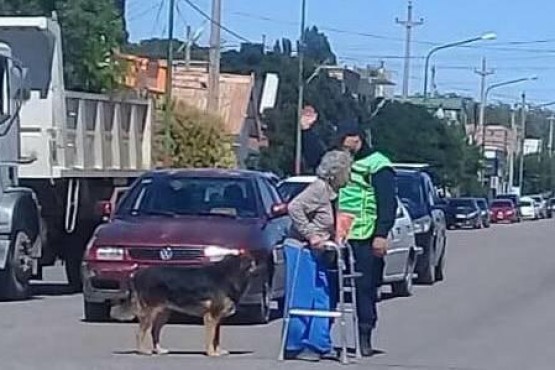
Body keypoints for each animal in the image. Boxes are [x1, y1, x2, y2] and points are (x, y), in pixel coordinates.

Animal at [111, 254, 258, 356]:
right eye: (252, 264)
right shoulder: (211, 317)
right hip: (150, 312)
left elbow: (216, 337)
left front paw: (218, 351)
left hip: (163, 313)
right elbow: (211, 337)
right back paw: (142, 351)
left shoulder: (218, 319)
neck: (230, 274)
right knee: (140, 332)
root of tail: (136, 275)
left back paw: (159, 350)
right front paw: (211, 353)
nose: (261, 270)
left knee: (154, 331)